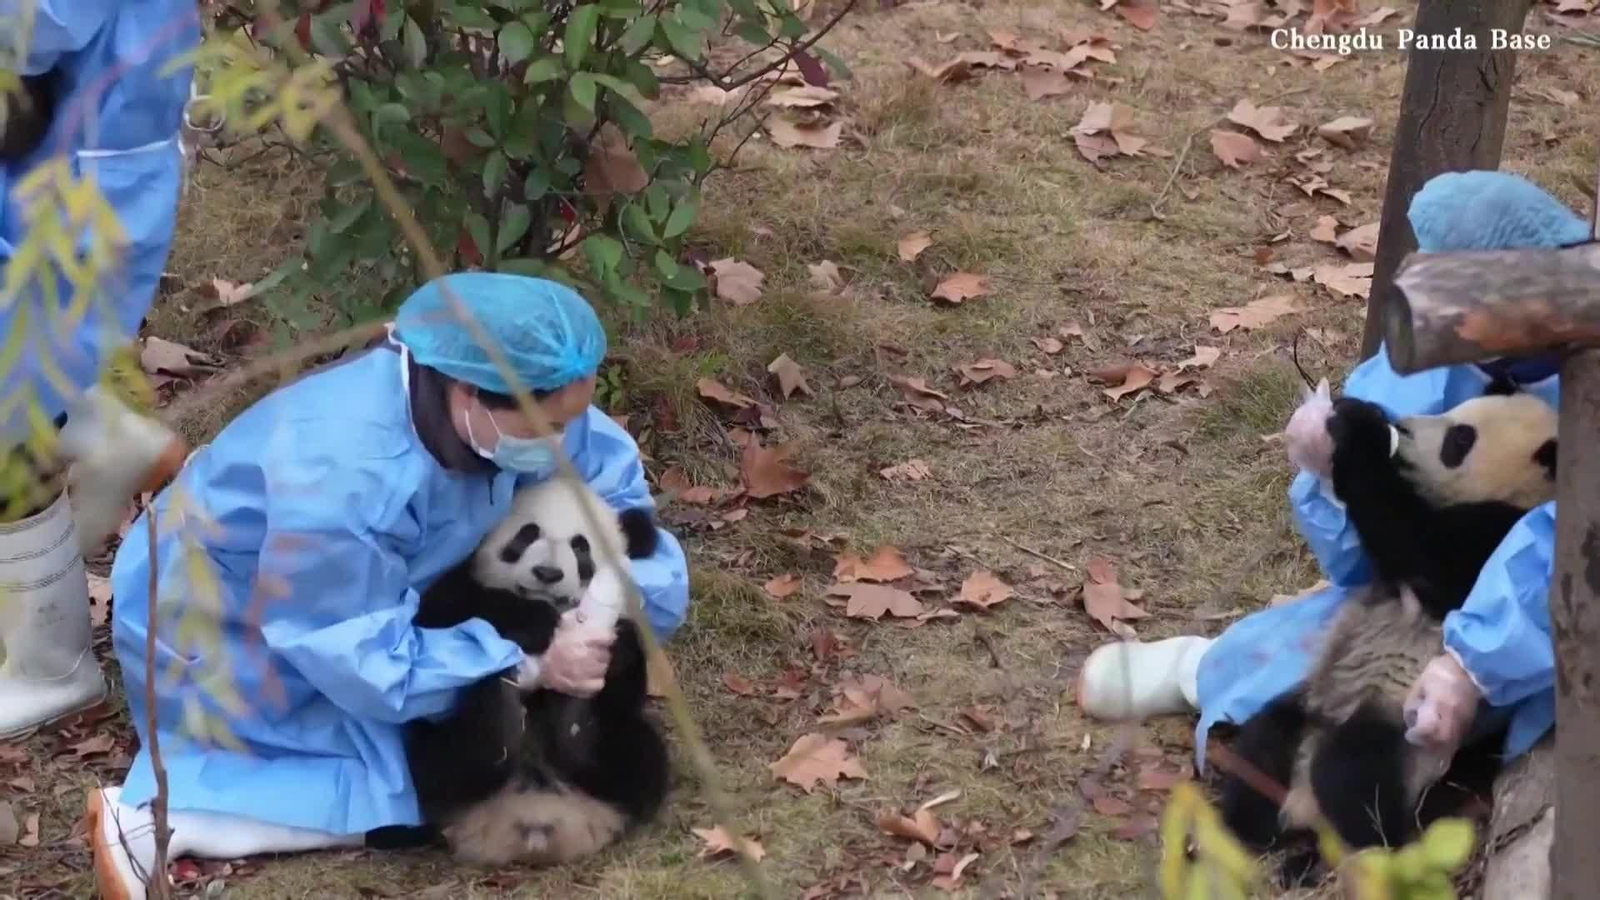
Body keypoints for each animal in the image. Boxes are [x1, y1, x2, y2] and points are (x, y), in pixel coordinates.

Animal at [404, 476, 671, 867]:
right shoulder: (457, 587)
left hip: (620, 755)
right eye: (526, 535)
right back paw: (503, 713)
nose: (547, 574)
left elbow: (627, 670)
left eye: (581, 547)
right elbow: (442, 612)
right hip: (436, 753)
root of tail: (534, 821)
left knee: (637, 761)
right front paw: (533, 622)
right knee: (439, 765)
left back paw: (575, 727)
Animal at [1217, 377, 1558, 885]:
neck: (1519, 494)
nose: (1404, 427)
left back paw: (1362, 852)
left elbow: (1417, 544)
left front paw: (1361, 431)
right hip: (1310, 707)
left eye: (1460, 440)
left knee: (1357, 781)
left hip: (1397, 732)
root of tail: (1302, 803)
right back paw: (1244, 833)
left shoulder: (1491, 537)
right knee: (1262, 747)